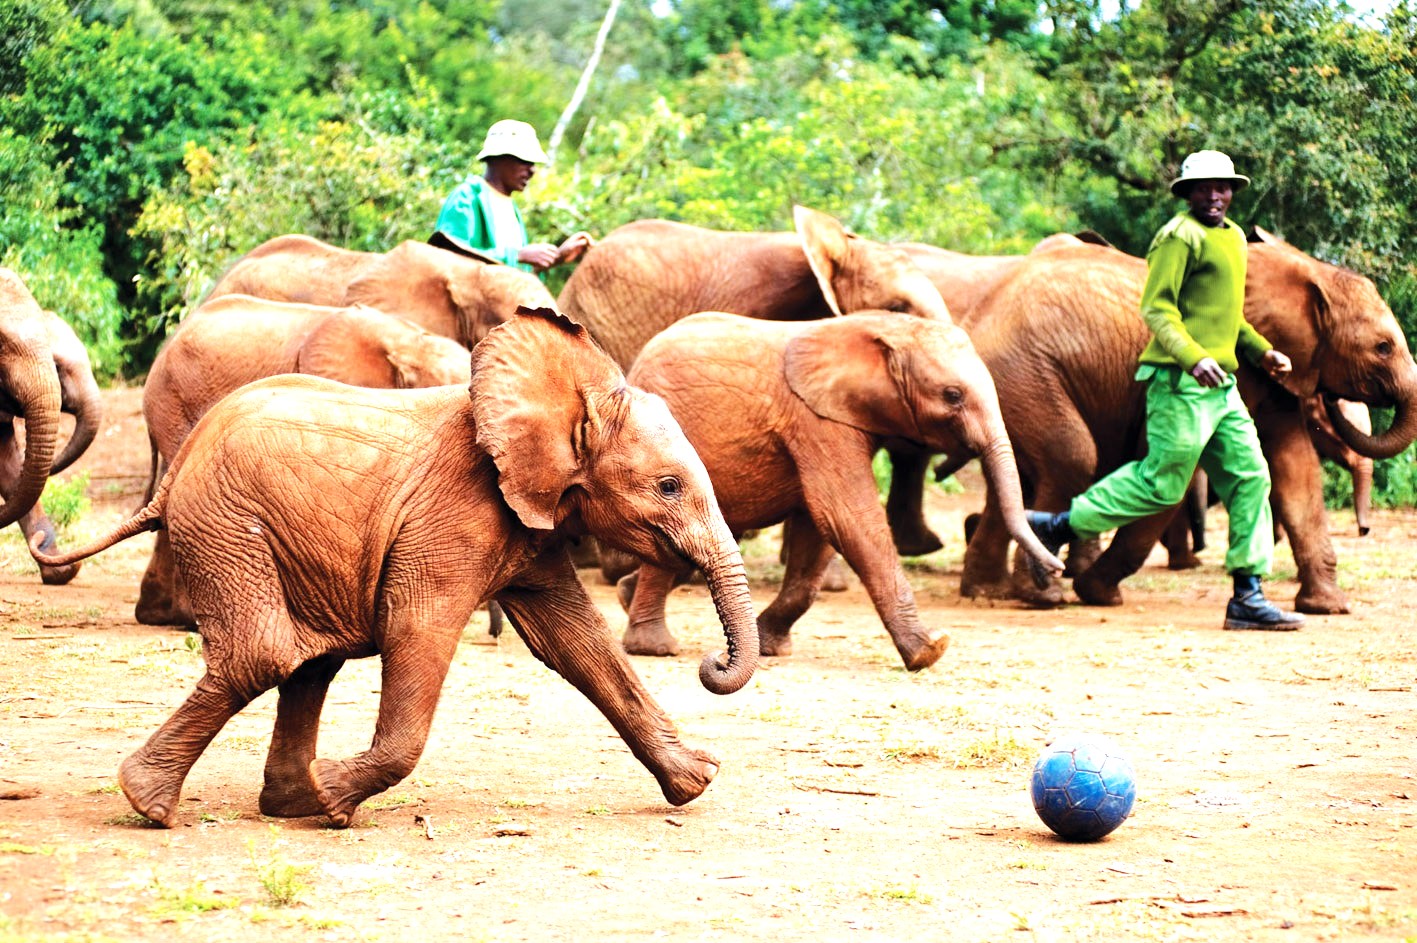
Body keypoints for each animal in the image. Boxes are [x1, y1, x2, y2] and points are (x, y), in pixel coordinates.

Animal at [617, 312, 1063, 671]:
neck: (884, 328)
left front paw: (770, 647)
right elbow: (846, 517)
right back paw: (654, 647)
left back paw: (625, 596)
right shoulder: (819, 423)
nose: (1054, 570)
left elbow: (816, 533)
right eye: (952, 396)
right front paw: (930, 651)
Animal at [902, 230, 1417, 613]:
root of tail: (975, 321)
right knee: (1071, 459)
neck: (1309, 271)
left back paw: (987, 591)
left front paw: (1327, 608)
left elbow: (1297, 472)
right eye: (1383, 347)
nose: (1365, 532)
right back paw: (1043, 594)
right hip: (1023, 373)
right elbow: (1176, 474)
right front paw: (1098, 593)